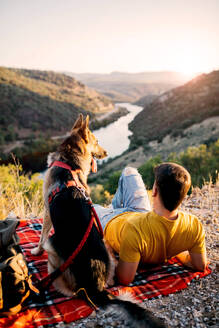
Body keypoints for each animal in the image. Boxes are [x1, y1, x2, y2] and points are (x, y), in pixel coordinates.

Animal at [31, 114, 167, 326]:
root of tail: (95, 285)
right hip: (107, 249)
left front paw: (35, 251)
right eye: (97, 141)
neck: (69, 161)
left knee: (65, 286)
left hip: (53, 251)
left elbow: (41, 235)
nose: (106, 152)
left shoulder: (46, 211)